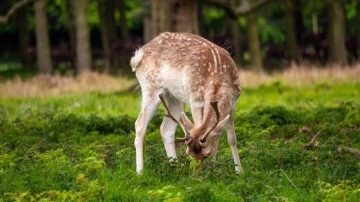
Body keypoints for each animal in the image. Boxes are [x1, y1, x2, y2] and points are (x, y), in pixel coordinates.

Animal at [131, 32, 243, 174]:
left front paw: (239, 172)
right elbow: (199, 125)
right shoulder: (195, 99)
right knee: (140, 124)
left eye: (207, 154)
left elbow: (232, 139)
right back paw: (140, 172)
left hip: (174, 97)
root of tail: (138, 56)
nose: (196, 175)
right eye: (188, 152)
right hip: (150, 88)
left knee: (166, 129)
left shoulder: (232, 104)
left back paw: (175, 167)